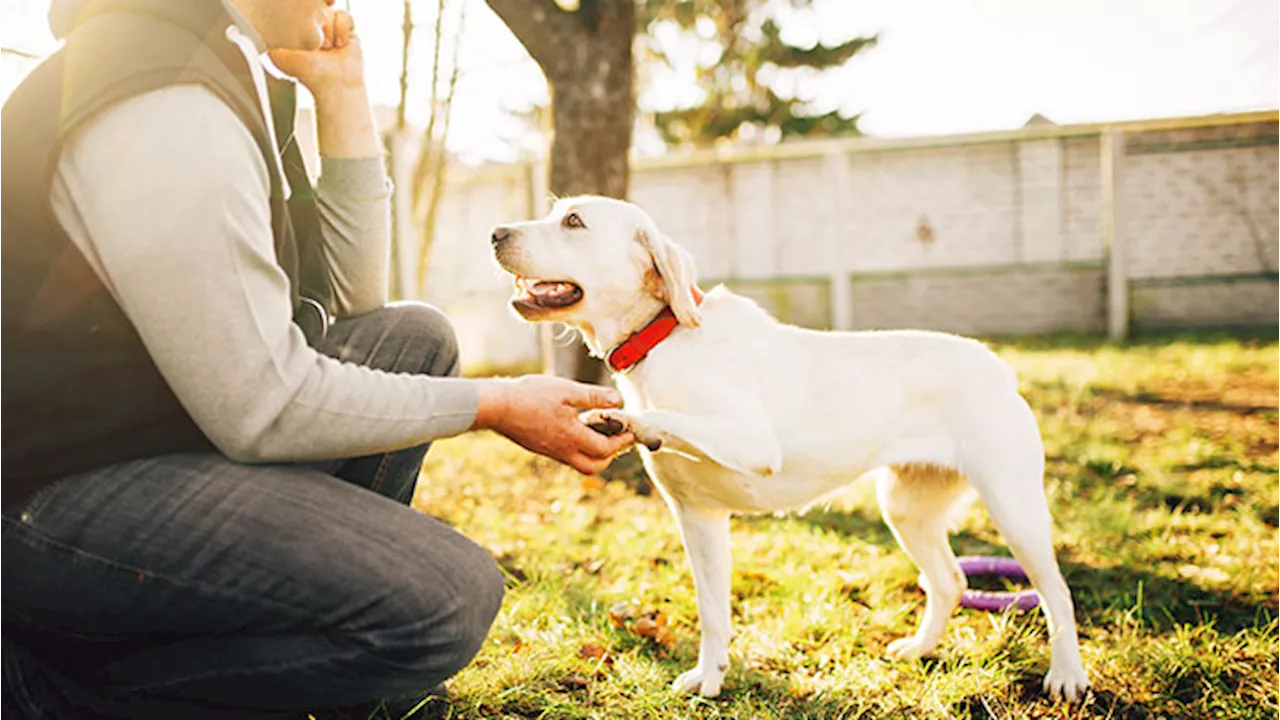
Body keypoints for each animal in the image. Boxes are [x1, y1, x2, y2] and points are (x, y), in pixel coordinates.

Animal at [488, 194, 1090, 696]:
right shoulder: (698, 518)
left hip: (1014, 510)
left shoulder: (752, 440)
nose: (494, 232)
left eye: (573, 221)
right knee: (949, 580)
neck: (664, 339)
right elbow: (712, 610)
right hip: (905, 509)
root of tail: (996, 364)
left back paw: (1067, 677)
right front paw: (710, 678)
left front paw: (630, 422)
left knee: (1057, 594)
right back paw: (919, 649)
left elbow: (665, 416)